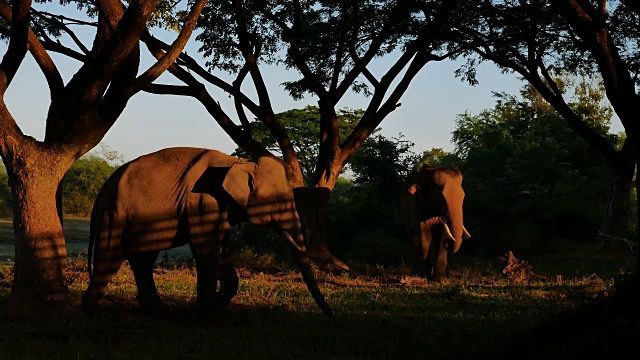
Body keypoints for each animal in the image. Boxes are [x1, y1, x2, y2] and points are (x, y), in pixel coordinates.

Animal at [81, 146, 336, 316]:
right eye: (280, 203)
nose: (331, 315)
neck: (239, 162)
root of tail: (105, 186)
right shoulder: (203, 201)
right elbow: (206, 249)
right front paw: (204, 316)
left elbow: (222, 247)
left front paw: (219, 309)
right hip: (115, 215)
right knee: (110, 258)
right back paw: (89, 312)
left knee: (142, 260)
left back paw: (159, 310)